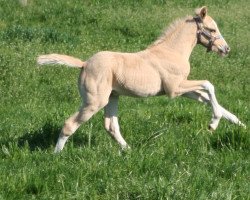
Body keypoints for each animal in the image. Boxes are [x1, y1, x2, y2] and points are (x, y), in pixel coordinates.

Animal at [37, 6, 246, 153]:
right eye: (212, 29)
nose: (226, 49)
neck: (171, 52)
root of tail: (84, 63)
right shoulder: (174, 89)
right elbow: (208, 85)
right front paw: (213, 124)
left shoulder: (181, 89)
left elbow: (206, 97)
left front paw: (238, 124)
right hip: (94, 101)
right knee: (69, 124)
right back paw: (56, 156)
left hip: (112, 97)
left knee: (111, 126)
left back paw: (129, 150)